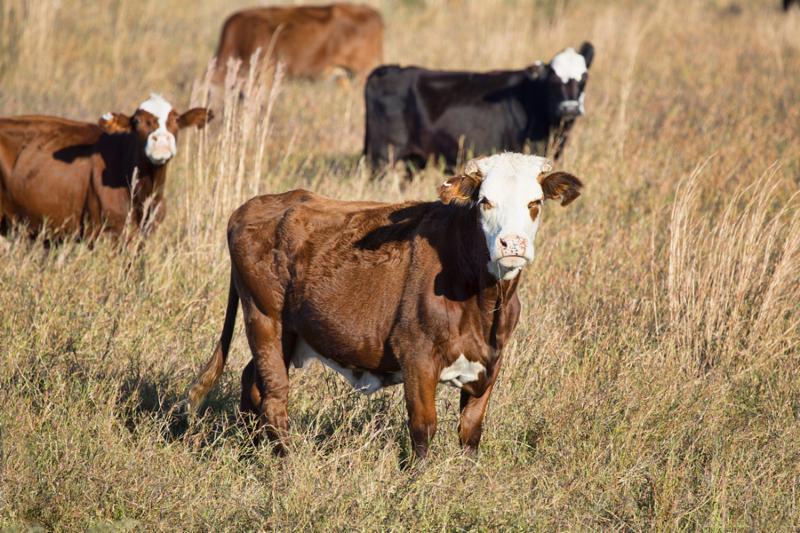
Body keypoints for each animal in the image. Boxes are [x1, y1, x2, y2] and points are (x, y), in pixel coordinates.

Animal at [186, 152, 583, 459]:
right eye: (485, 201)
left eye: (535, 203)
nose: (512, 244)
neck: (484, 302)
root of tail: (255, 205)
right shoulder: (417, 355)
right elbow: (423, 429)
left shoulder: (490, 361)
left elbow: (470, 431)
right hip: (264, 317)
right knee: (273, 397)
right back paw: (286, 464)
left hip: (286, 332)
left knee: (252, 382)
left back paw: (254, 451)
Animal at [363, 43, 595, 171]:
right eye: (554, 79)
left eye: (584, 77)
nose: (570, 109)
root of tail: (390, 70)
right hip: (382, 155)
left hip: (414, 160)